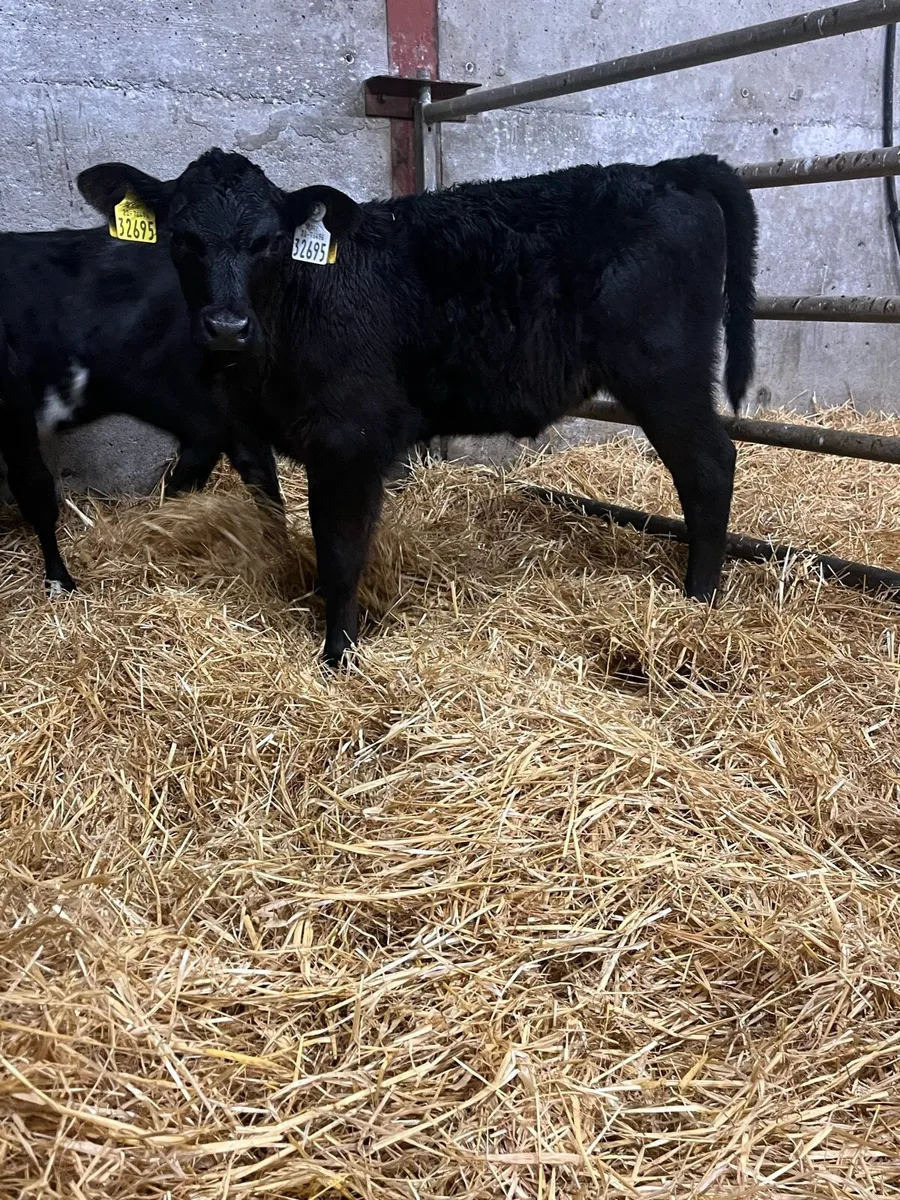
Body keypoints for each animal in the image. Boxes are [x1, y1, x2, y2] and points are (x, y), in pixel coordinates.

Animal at [78, 149, 757, 666]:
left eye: (268, 242)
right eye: (181, 239)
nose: (225, 327)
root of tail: (668, 169)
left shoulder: (348, 440)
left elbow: (341, 550)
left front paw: (338, 655)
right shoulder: (248, 432)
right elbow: (267, 509)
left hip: (663, 371)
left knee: (709, 464)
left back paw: (699, 599)